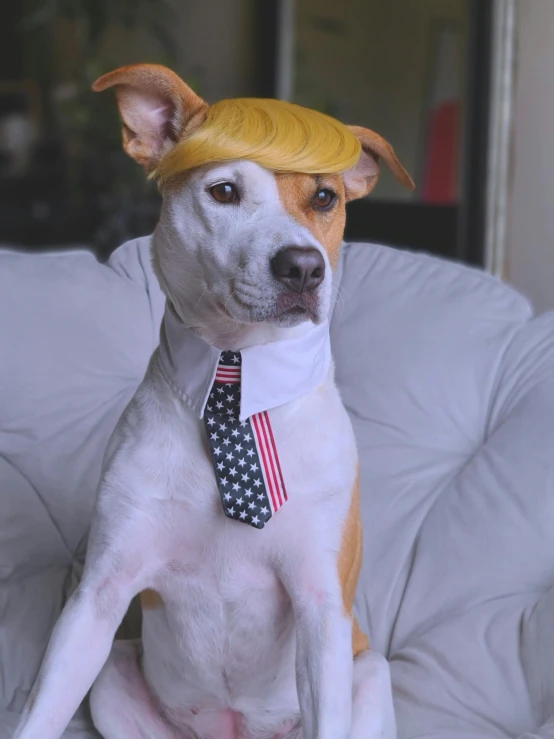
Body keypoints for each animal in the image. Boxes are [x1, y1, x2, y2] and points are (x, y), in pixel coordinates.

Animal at [12, 63, 412, 739]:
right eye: (224, 191)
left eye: (324, 198)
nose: (303, 267)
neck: (236, 378)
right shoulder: (96, 601)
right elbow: (40, 713)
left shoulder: (320, 610)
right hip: (114, 677)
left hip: (368, 670)